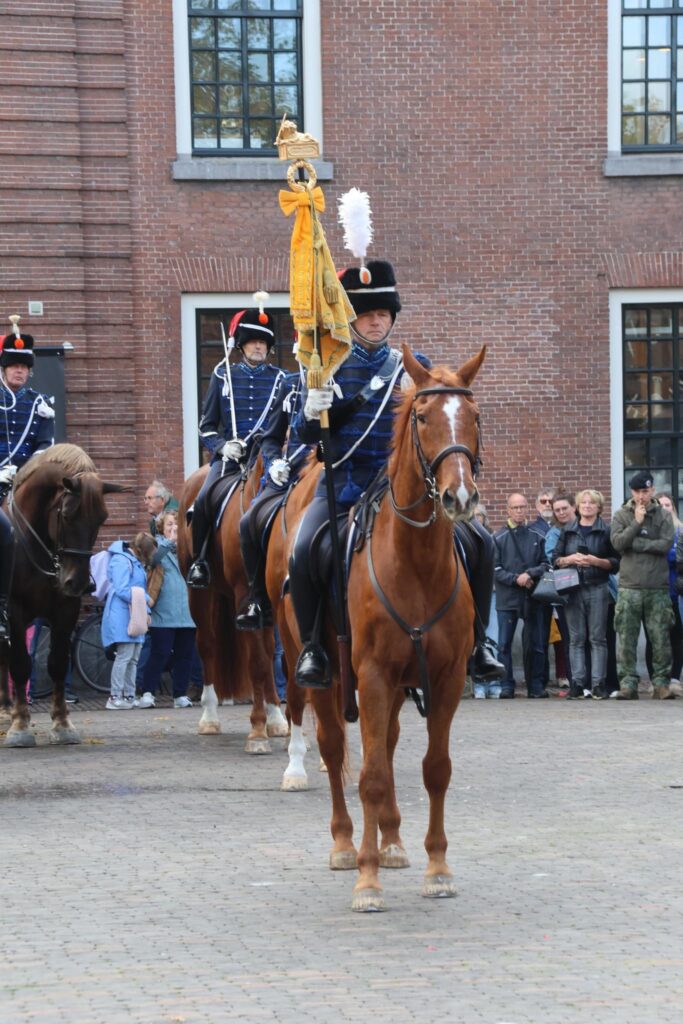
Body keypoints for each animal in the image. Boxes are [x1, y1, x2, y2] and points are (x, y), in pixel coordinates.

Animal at [0, 444, 126, 747]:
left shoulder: (66, 609)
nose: (77, 582)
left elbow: (57, 664)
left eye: (103, 517)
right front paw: (20, 727)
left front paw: (62, 724)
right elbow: (21, 664)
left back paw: (6, 708)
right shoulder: (15, 611)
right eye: (67, 514)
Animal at [176, 455, 288, 753]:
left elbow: (269, 658)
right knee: (207, 646)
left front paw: (272, 720)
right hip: (201, 596)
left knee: (268, 651)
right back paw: (209, 717)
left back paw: (277, 717)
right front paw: (258, 730)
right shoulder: (243, 595)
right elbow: (257, 663)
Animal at [270, 344, 484, 911]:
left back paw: (391, 841)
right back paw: (347, 844)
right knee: (335, 747)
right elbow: (367, 776)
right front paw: (366, 880)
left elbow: (434, 769)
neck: (417, 563)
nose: (459, 498)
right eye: (422, 416)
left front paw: (437, 867)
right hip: (319, 670)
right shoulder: (370, 675)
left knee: (384, 747)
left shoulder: (446, 678)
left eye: (475, 416)